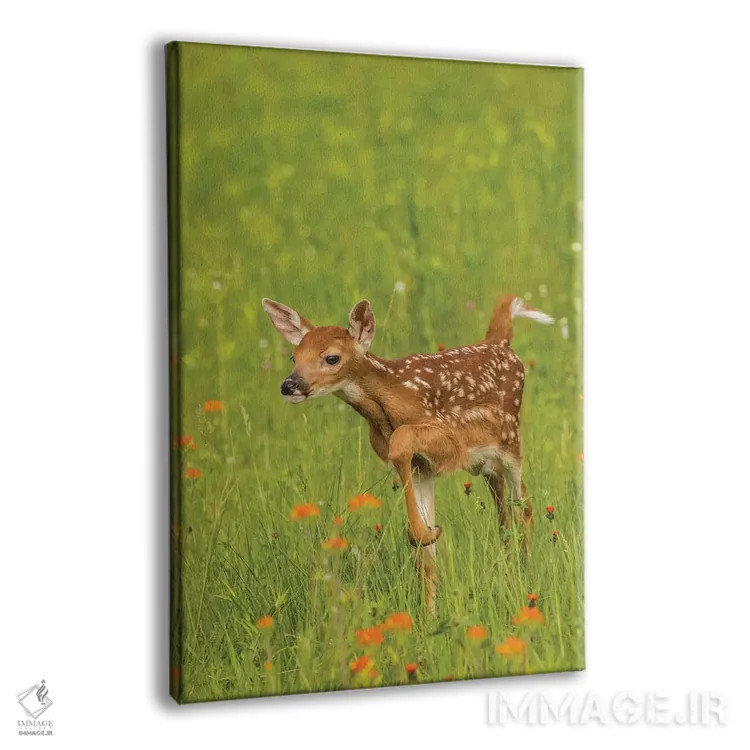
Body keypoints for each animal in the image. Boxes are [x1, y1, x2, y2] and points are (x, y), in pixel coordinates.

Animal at [261, 293, 553, 613]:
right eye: (294, 357)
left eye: (332, 358)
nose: (289, 385)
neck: (390, 403)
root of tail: (500, 343)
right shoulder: (421, 467)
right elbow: (426, 553)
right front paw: (429, 614)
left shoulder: (450, 437)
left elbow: (402, 440)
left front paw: (426, 536)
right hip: (488, 463)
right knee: (504, 509)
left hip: (511, 439)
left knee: (525, 504)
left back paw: (529, 577)